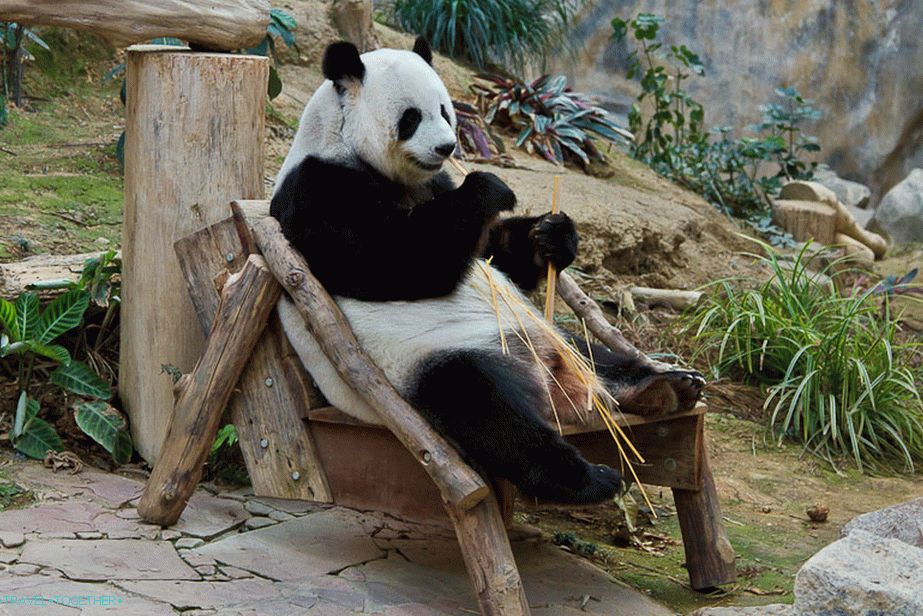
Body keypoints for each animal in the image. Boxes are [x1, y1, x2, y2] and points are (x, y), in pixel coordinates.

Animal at [270, 38, 705, 505]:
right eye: (411, 118)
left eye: (445, 110)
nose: (446, 148)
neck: (349, 147)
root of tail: (545, 379)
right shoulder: (319, 189)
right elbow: (391, 260)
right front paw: (489, 187)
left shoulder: (434, 184)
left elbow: (494, 254)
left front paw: (551, 235)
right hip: (426, 364)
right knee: (490, 410)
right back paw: (588, 479)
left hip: (547, 335)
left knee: (597, 357)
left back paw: (667, 387)